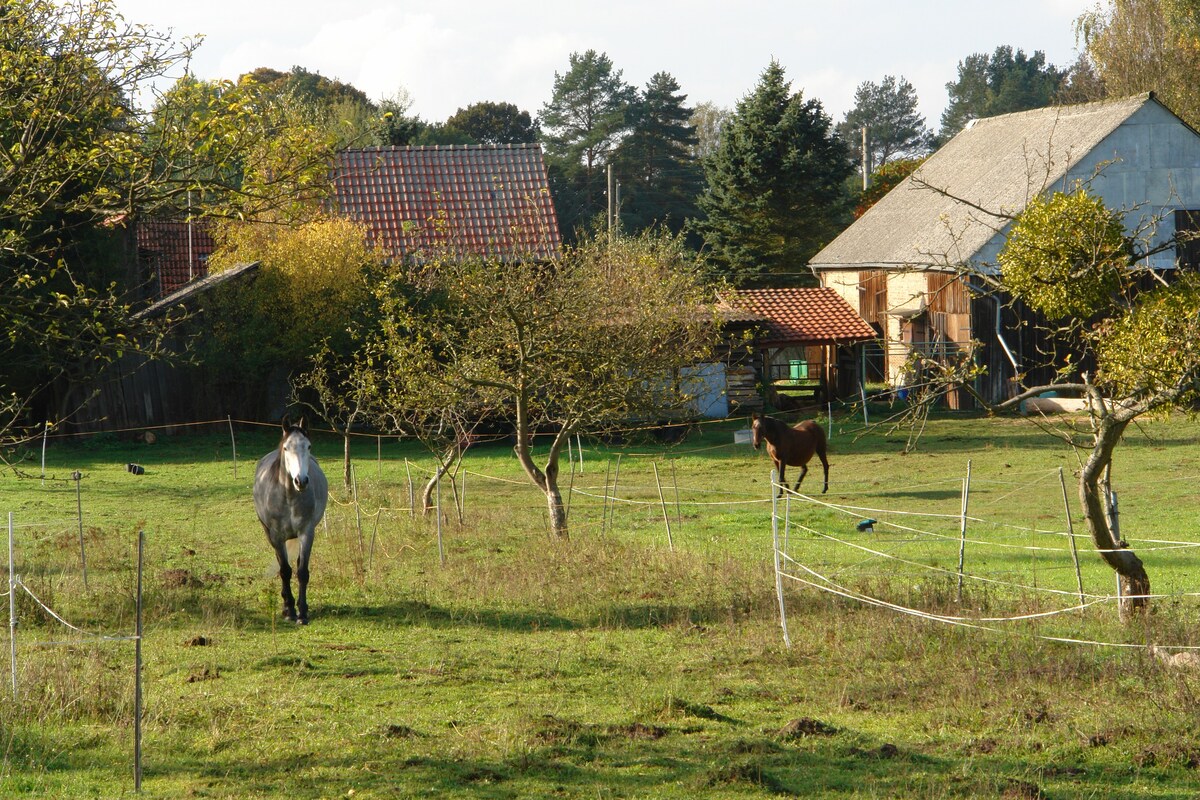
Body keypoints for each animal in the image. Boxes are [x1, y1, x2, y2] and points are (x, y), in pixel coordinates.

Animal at [253, 419, 328, 623]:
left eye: (308, 446)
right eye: (286, 448)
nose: (301, 481)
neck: (289, 497)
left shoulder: (307, 533)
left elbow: (302, 571)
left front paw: (302, 612)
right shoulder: (277, 536)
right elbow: (285, 571)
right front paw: (290, 610)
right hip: (269, 535)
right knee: (282, 565)